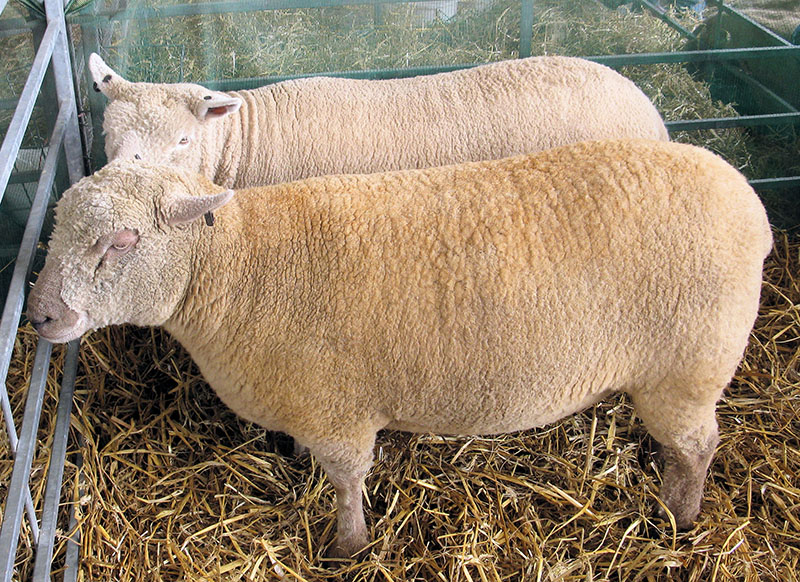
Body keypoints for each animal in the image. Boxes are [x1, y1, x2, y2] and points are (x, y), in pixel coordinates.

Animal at [28, 140, 772, 560]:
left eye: (121, 242)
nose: (39, 315)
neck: (239, 267)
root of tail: (749, 202)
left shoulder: (337, 413)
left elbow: (347, 480)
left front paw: (348, 547)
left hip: (688, 368)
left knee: (699, 446)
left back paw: (679, 514)